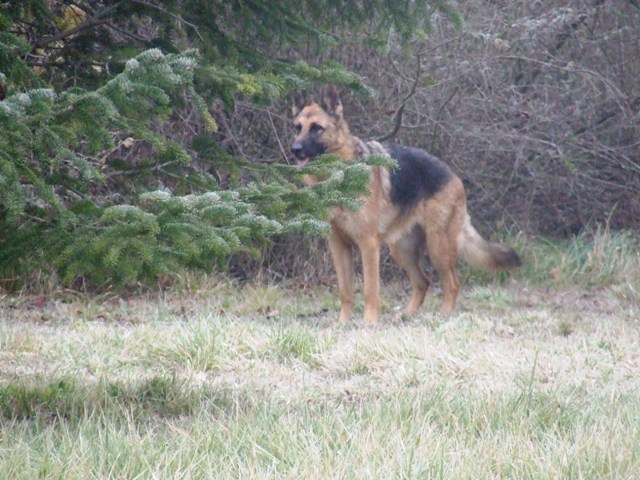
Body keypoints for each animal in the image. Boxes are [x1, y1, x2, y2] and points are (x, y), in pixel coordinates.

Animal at [292, 85, 524, 326]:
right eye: (297, 127)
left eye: (316, 128)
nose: (295, 149)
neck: (339, 176)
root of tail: (452, 174)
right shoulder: (338, 246)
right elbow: (345, 291)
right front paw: (343, 323)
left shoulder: (368, 245)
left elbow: (370, 290)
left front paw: (369, 323)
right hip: (402, 250)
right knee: (423, 282)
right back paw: (405, 315)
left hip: (437, 246)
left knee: (452, 282)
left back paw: (443, 316)